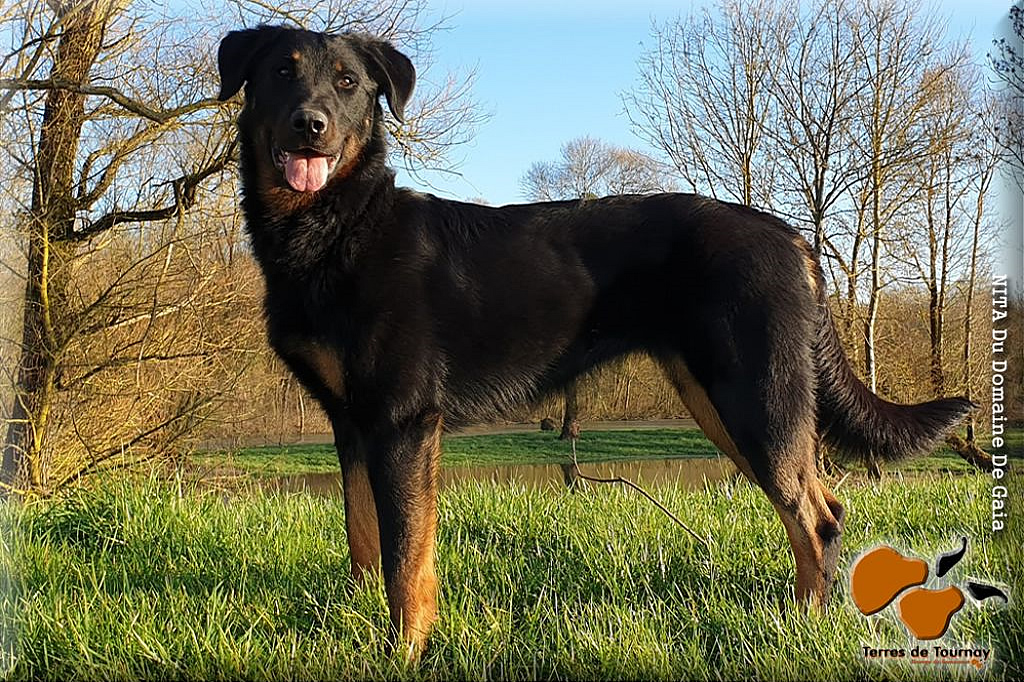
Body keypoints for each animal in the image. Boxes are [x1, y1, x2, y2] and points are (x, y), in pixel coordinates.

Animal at [216, 25, 973, 656]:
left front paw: (402, 654)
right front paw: (360, 626)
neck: (337, 228)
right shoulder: (352, 425)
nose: (310, 126)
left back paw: (806, 630)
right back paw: (798, 618)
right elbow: (365, 541)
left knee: (814, 517)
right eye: (281, 72)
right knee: (818, 509)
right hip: (721, 403)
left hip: (755, 399)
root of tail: (792, 238)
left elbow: (408, 563)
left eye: (348, 82)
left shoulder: (404, 425)